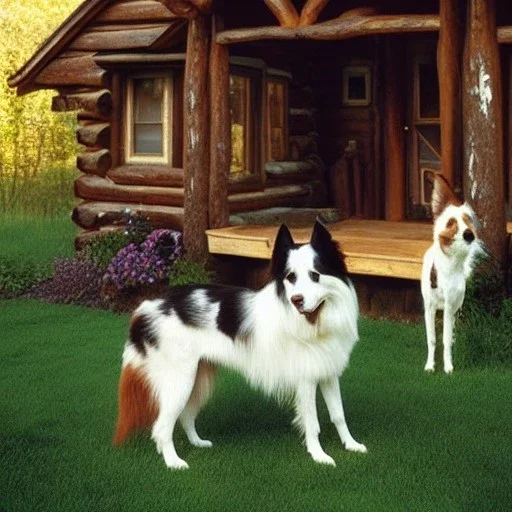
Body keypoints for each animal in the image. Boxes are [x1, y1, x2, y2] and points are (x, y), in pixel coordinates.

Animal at [422, 175, 482, 372]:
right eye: (450, 223)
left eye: (468, 221)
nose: (470, 234)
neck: (446, 270)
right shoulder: (429, 308)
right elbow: (432, 339)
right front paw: (430, 365)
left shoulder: (449, 307)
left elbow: (446, 340)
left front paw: (448, 366)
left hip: (456, 306)